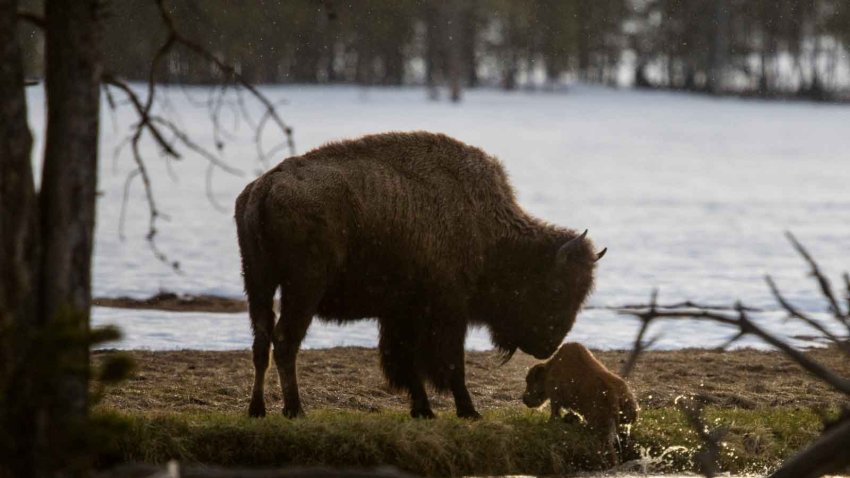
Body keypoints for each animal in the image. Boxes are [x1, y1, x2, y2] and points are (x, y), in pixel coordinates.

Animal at [232, 131, 604, 418]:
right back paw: (295, 409)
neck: (485, 227)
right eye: (556, 288)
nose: (550, 344)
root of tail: (265, 187)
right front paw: (468, 411)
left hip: (257, 282)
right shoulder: (448, 312)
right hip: (302, 288)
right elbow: (450, 364)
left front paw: (423, 410)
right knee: (285, 341)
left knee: (261, 342)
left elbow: (406, 363)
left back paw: (258, 409)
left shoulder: (402, 314)